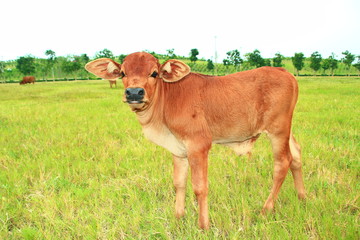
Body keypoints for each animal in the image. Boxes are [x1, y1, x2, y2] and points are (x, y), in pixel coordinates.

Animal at [85, 52, 306, 229]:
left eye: (154, 73)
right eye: (122, 73)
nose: (134, 93)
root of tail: (284, 71)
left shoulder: (199, 146)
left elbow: (200, 187)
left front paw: (203, 225)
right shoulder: (178, 149)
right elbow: (179, 183)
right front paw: (178, 217)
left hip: (278, 130)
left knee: (282, 163)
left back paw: (265, 210)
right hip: (287, 130)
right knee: (296, 155)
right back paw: (302, 197)